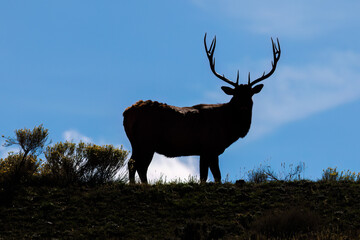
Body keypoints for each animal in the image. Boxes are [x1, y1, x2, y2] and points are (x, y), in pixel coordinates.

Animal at [124, 34, 282, 184]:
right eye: (236, 95)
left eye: (250, 95)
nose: (243, 107)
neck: (228, 128)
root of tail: (127, 114)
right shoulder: (209, 147)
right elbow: (213, 176)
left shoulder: (204, 151)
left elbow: (207, 177)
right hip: (147, 140)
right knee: (141, 166)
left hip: (135, 142)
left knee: (131, 163)